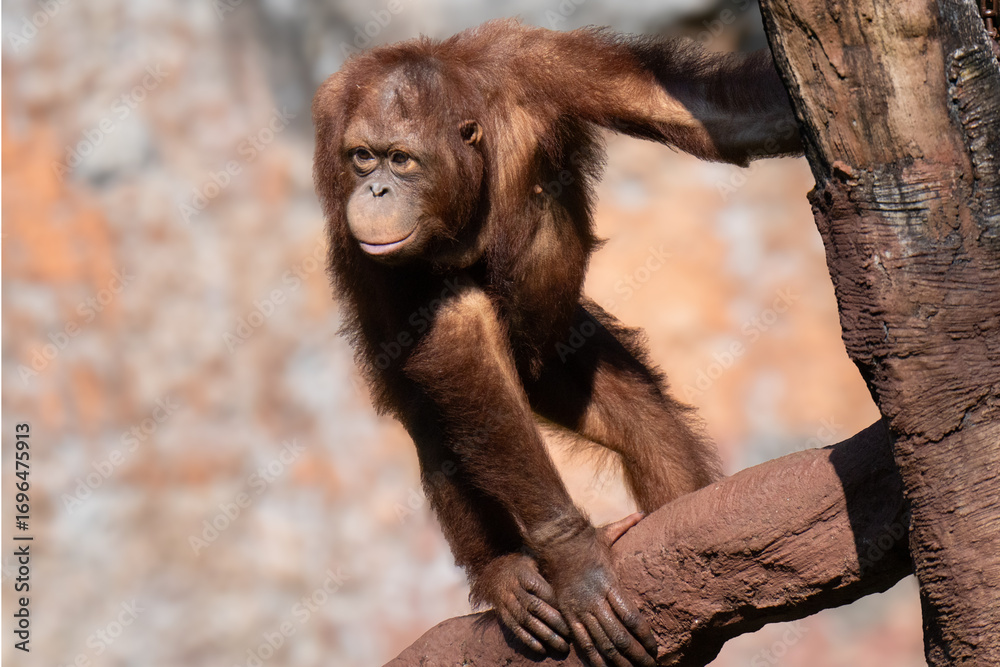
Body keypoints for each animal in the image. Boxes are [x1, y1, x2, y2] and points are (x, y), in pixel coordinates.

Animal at [312, 18, 800, 666]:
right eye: (363, 158)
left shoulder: (548, 64)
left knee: (644, 423)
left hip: (562, 356)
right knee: (451, 421)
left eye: (401, 160)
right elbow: (457, 335)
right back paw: (503, 573)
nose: (376, 191)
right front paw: (572, 560)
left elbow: (706, 113)